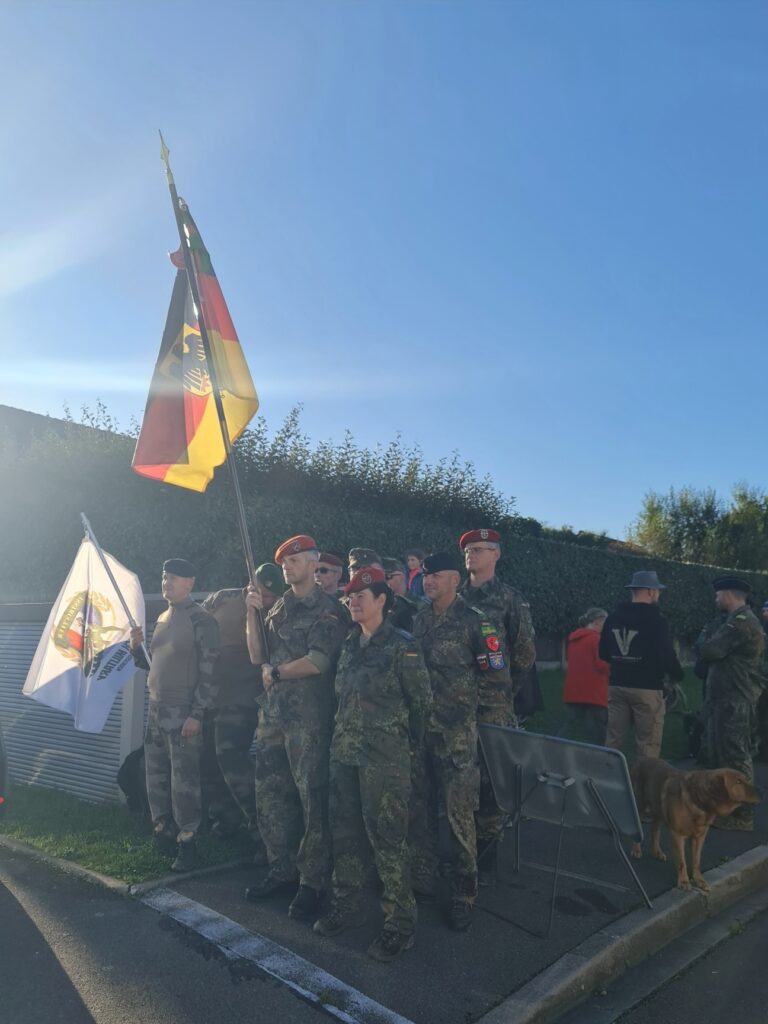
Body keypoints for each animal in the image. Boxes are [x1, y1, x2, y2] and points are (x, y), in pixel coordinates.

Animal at [630, 757, 765, 892]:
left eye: (745, 779)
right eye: (738, 782)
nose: (761, 791)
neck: (700, 800)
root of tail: (643, 759)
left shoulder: (699, 837)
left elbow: (696, 861)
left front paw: (699, 880)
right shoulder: (678, 836)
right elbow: (682, 862)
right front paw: (684, 881)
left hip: (659, 810)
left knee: (654, 830)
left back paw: (657, 852)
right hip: (639, 807)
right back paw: (636, 850)